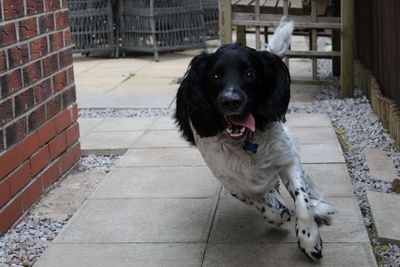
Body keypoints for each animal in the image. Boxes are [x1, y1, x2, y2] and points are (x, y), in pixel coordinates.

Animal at [175, 21, 334, 262]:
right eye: (215, 76)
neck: (246, 141)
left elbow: (302, 200)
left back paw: (319, 208)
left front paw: (309, 239)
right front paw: (278, 212)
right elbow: (262, 203)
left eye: (251, 73)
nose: (231, 101)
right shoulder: (231, 179)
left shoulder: (287, 158)